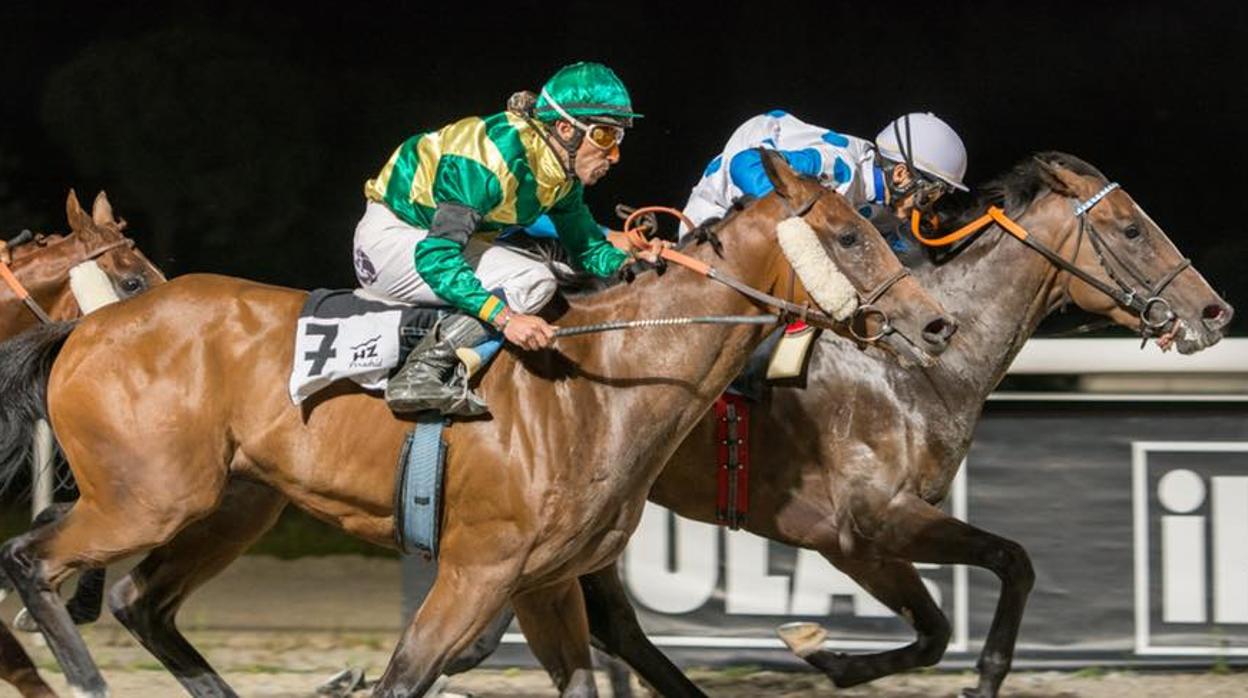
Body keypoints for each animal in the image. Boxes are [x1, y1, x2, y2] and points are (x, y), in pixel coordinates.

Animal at [0, 154, 953, 698]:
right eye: (847, 235)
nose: (936, 323)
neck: (599, 382)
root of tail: (85, 330)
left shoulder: (546, 583)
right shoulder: (476, 569)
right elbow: (404, 679)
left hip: (232, 504)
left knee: (138, 601)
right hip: (148, 497)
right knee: (32, 559)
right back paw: (85, 682)